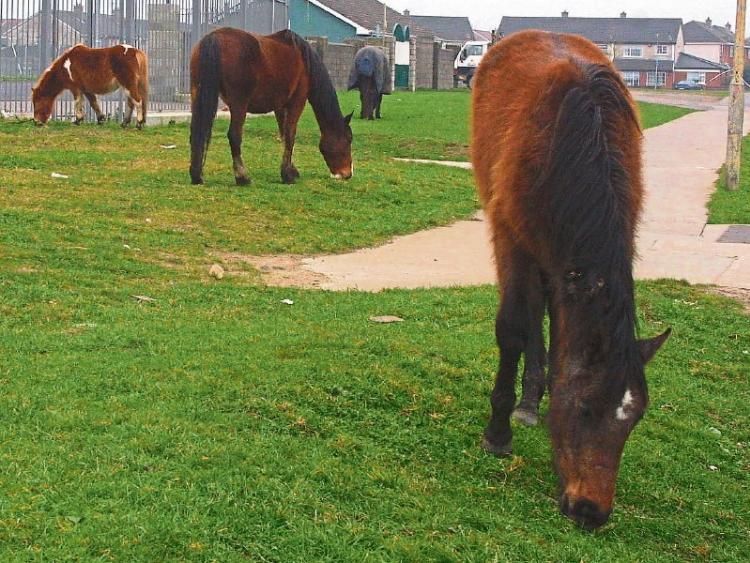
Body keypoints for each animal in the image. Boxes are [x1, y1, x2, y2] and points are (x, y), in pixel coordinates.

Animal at [189, 28, 354, 186]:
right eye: (349, 139)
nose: (348, 174)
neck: (304, 61)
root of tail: (214, 37)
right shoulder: (297, 102)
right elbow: (291, 135)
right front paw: (287, 175)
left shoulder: (280, 106)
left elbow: (284, 134)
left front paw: (291, 169)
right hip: (238, 105)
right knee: (234, 135)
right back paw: (242, 177)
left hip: (197, 94)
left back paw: (196, 175)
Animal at [471, 30, 670, 530]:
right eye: (584, 408)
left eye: (634, 419)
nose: (591, 510)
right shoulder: (511, 237)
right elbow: (512, 330)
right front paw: (498, 431)